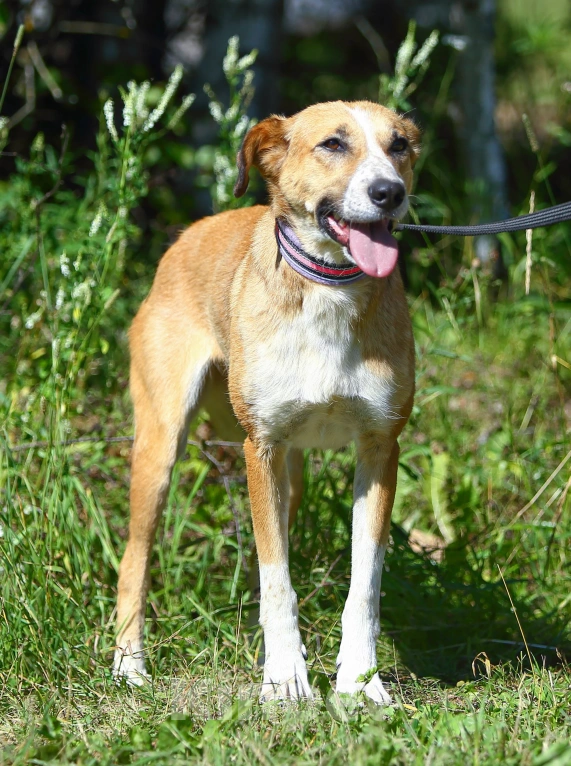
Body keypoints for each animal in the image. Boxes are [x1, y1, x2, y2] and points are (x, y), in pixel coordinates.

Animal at [115, 99, 420, 704]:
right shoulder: (262, 448)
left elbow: (364, 585)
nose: (389, 192)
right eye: (333, 144)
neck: (329, 287)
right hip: (159, 449)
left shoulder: (380, 448)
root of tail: (186, 235)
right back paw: (129, 664)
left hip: (292, 476)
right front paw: (283, 678)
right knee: (133, 558)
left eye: (398, 145)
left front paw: (359, 681)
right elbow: (276, 578)